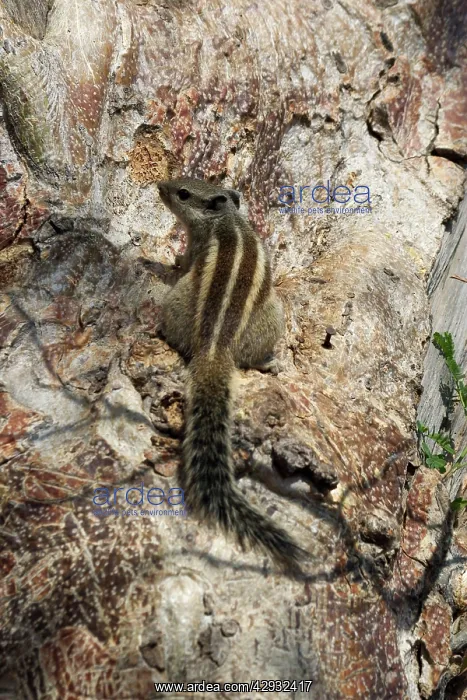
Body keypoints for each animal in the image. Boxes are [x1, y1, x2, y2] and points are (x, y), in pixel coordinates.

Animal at [157, 178, 306, 573]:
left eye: (182, 193)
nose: (160, 186)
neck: (226, 221)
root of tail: (214, 349)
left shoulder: (197, 246)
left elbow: (185, 261)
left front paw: (171, 260)